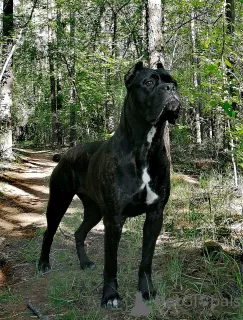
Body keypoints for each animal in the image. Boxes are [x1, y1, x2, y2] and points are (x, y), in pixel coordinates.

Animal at [38, 61, 180, 308]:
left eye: (174, 82)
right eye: (149, 82)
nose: (170, 89)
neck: (145, 147)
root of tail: (66, 154)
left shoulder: (155, 215)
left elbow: (146, 259)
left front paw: (146, 290)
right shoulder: (114, 219)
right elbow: (111, 262)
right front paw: (111, 296)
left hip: (94, 210)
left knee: (79, 233)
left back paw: (85, 263)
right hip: (58, 201)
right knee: (49, 233)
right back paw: (44, 263)